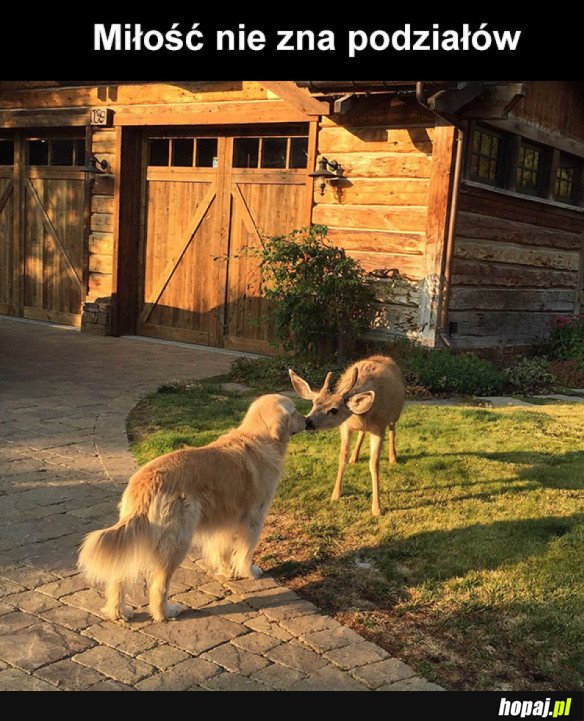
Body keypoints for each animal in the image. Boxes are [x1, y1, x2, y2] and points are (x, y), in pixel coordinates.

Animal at [78, 390, 306, 620]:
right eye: (295, 411)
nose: (308, 421)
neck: (260, 437)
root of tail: (146, 483)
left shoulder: (225, 519)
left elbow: (223, 550)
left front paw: (226, 572)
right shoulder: (254, 517)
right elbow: (245, 552)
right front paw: (250, 572)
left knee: (119, 578)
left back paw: (119, 612)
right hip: (177, 540)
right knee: (159, 586)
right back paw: (165, 612)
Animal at [288, 352, 406, 512]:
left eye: (334, 410)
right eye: (313, 403)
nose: (308, 421)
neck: (361, 415)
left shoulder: (379, 427)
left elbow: (374, 464)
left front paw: (377, 508)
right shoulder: (345, 426)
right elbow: (342, 456)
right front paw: (335, 494)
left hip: (395, 414)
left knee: (393, 430)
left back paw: (393, 457)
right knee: (363, 432)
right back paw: (354, 457)